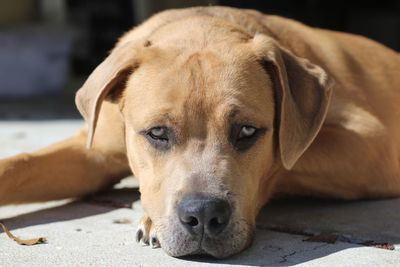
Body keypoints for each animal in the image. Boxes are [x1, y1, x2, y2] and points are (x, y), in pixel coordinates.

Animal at [0, 5, 400, 258]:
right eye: (157, 133)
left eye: (248, 131)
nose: (204, 216)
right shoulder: (94, 152)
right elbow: (19, 163)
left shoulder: (370, 145)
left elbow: (282, 161)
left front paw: (149, 213)